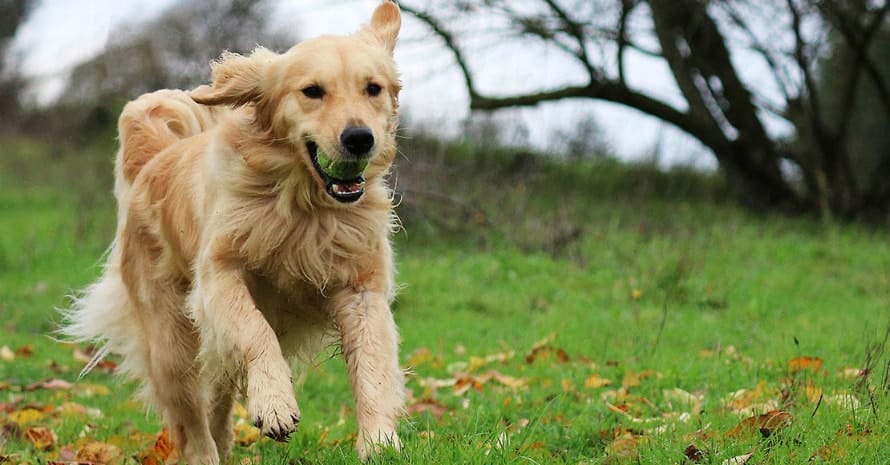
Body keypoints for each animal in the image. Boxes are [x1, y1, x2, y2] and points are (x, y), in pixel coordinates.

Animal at [63, 2, 406, 460]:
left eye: (373, 88)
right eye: (312, 91)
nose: (359, 138)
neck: (303, 206)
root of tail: (154, 159)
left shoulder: (361, 287)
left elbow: (373, 365)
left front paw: (379, 443)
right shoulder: (218, 276)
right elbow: (256, 330)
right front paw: (275, 404)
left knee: (218, 396)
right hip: (170, 340)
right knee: (189, 419)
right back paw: (206, 454)